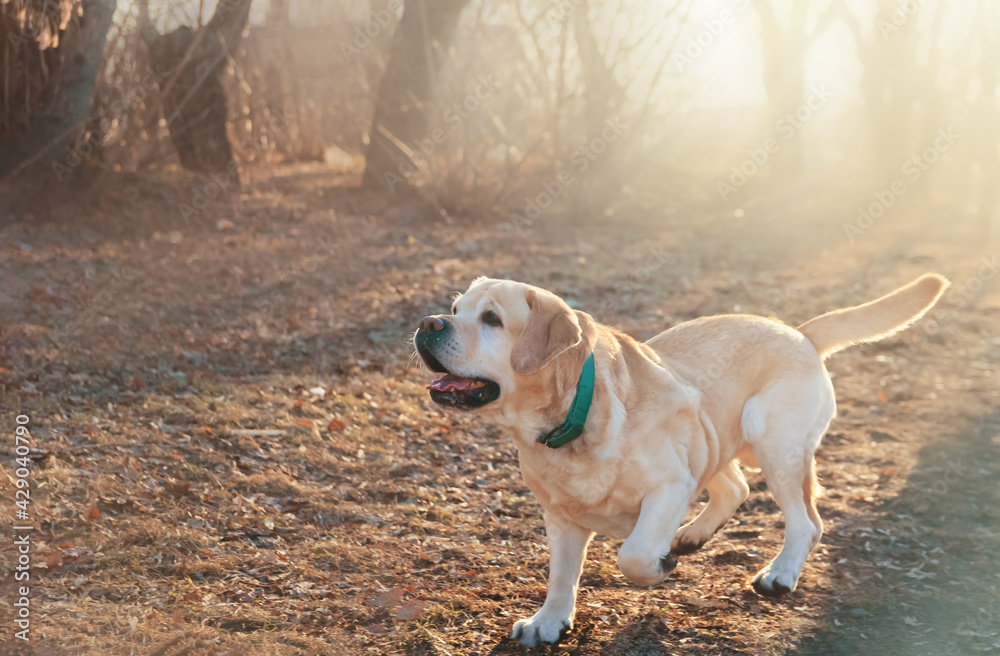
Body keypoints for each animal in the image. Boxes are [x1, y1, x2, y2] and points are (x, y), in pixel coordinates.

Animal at [412, 272, 944, 644]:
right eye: (456, 308)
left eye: (492, 319)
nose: (427, 322)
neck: (574, 417)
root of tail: (798, 332)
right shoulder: (560, 516)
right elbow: (562, 576)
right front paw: (549, 622)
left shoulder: (668, 487)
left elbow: (632, 554)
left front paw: (659, 564)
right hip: (715, 438)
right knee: (736, 487)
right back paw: (692, 536)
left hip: (773, 443)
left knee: (806, 521)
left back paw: (779, 574)